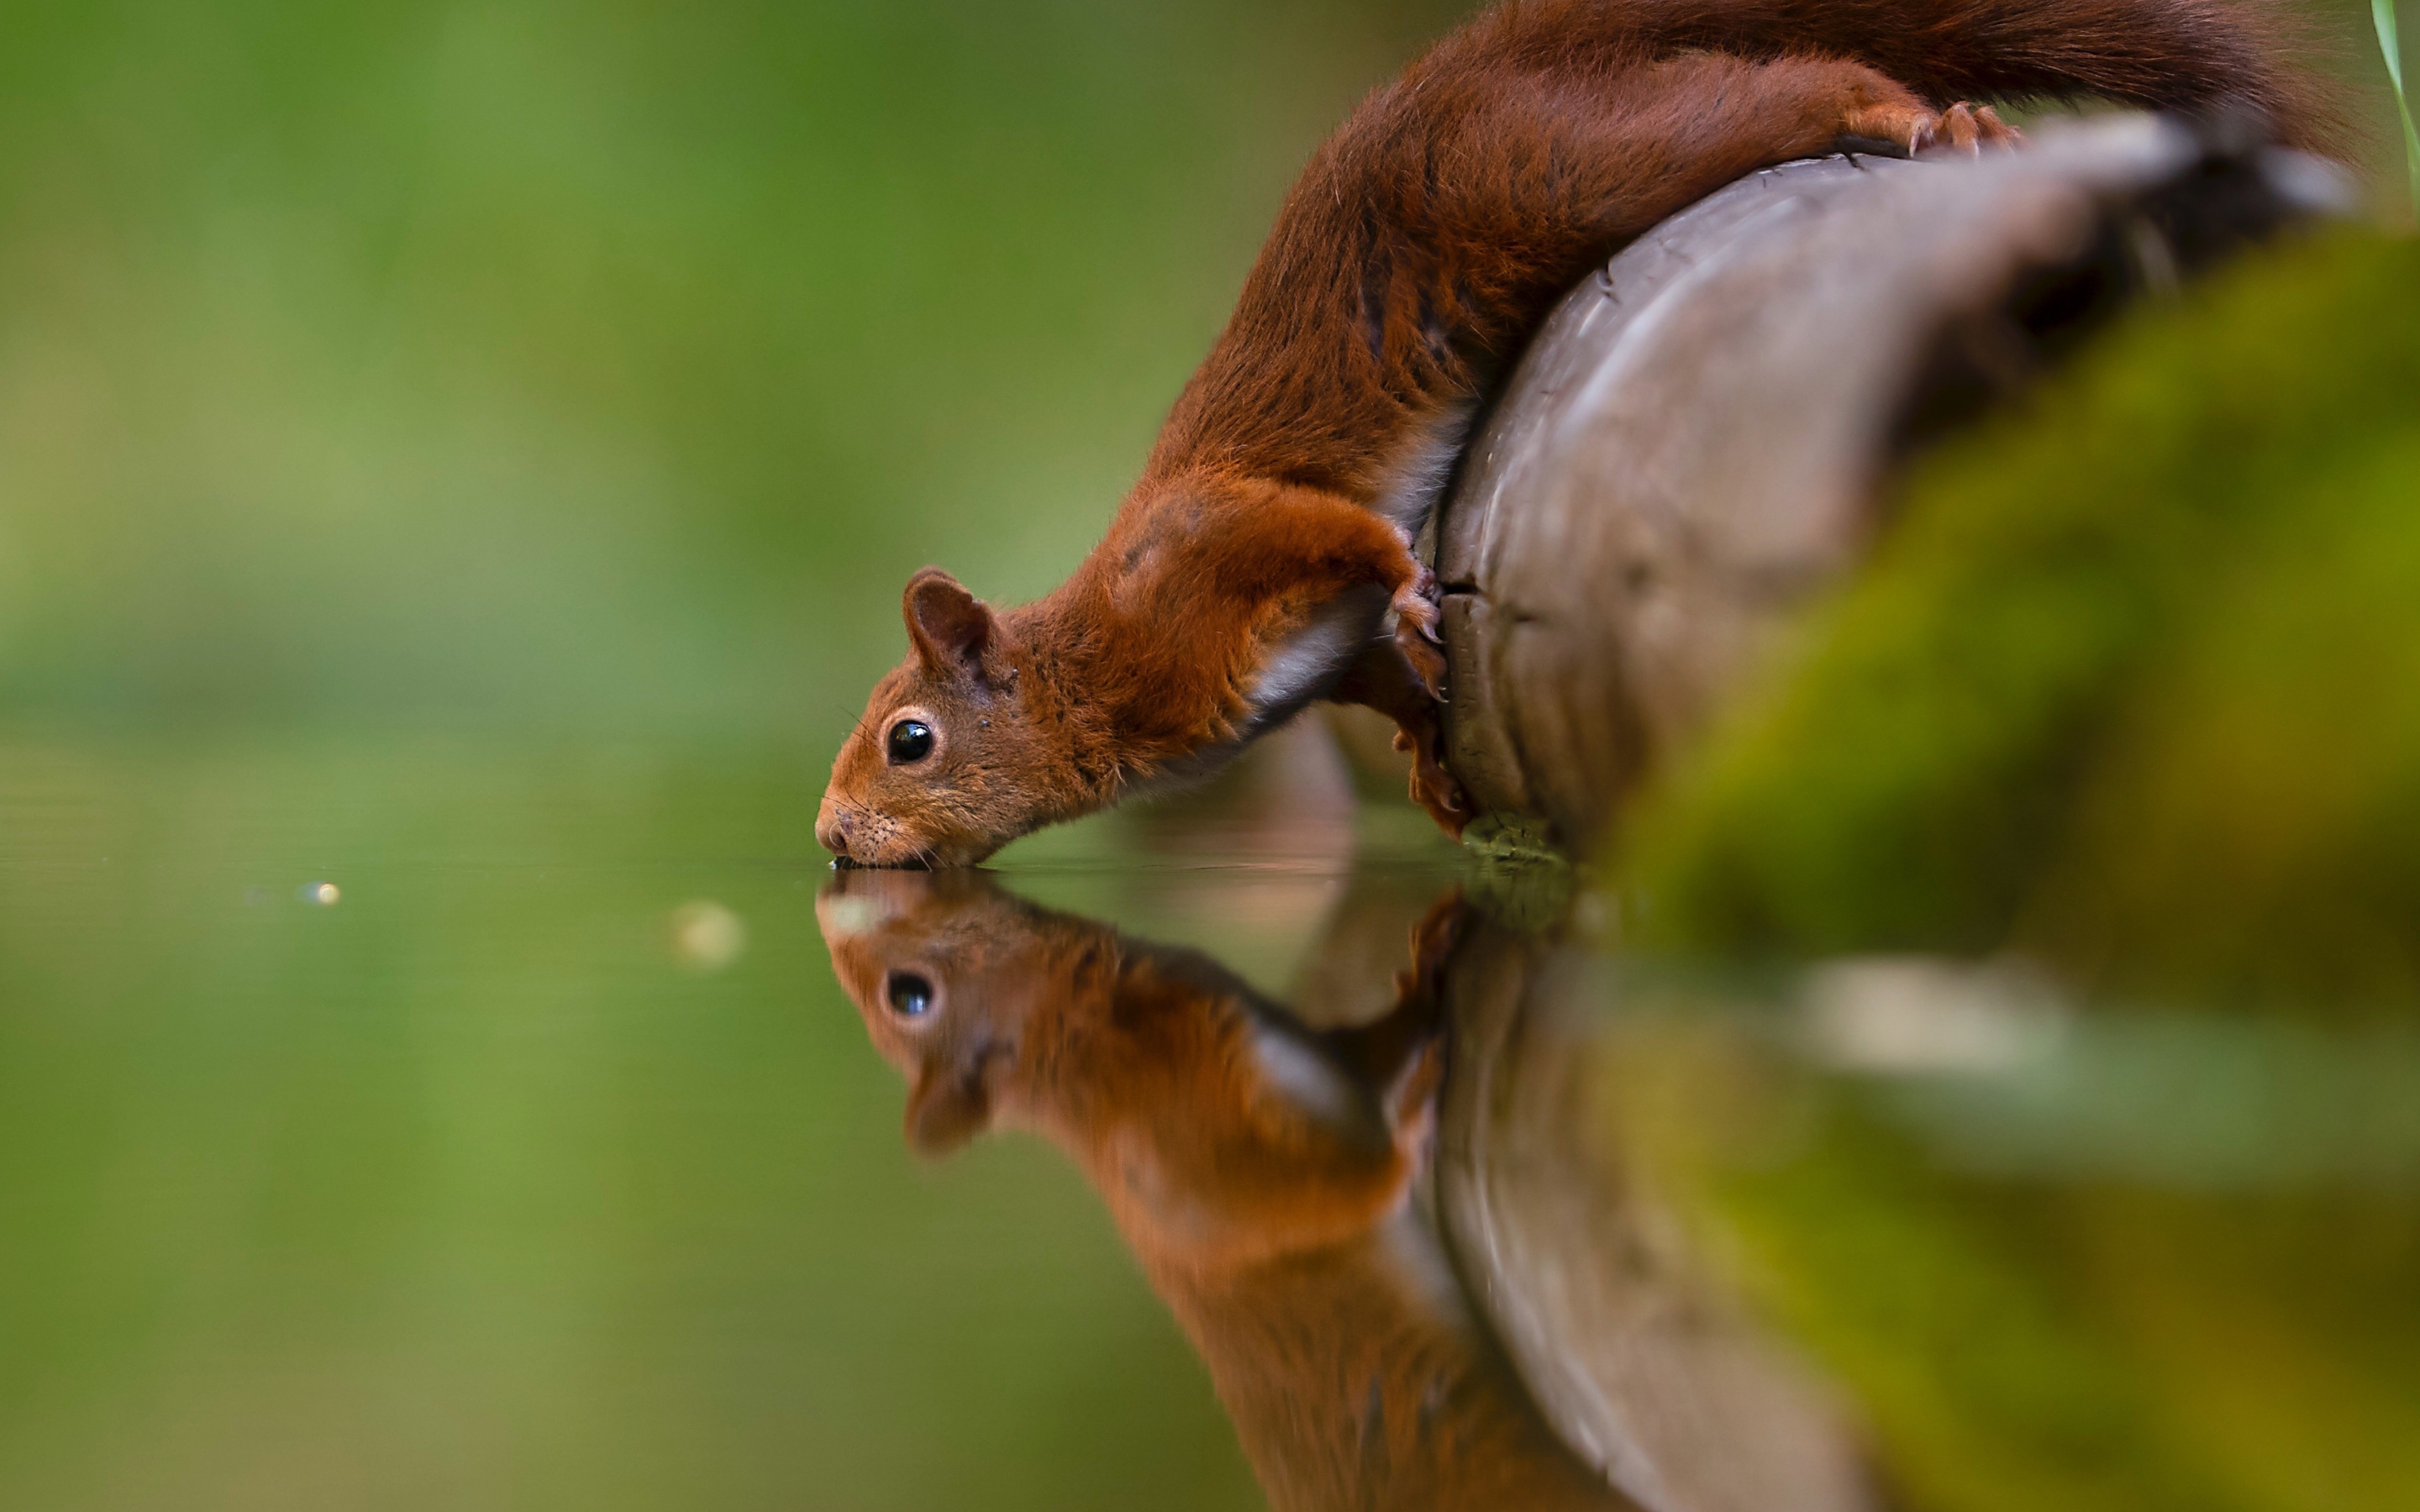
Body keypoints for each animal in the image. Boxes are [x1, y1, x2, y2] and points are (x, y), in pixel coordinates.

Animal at [813, 0, 2303, 861]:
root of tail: (1483, 60)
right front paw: (1428, 757)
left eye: (909, 740)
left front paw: (1412, 586)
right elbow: (1372, 673)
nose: (827, 841)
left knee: (1793, 86)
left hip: (1567, 163)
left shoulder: (1210, 544)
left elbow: (1328, 525)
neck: (1101, 666)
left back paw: (1932, 115)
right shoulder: (1296, 657)